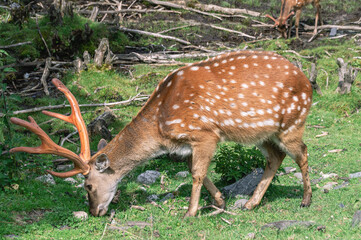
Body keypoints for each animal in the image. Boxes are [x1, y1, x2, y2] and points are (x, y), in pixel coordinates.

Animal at [9, 50, 310, 218]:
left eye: (88, 186)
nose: (95, 212)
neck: (161, 125)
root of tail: (308, 81)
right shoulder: (185, 144)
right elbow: (194, 169)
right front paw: (220, 202)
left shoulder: (205, 132)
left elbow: (196, 173)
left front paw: (190, 213)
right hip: (264, 134)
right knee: (276, 157)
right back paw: (250, 204)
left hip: (292, 122)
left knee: (302, 153)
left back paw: (305, 200)